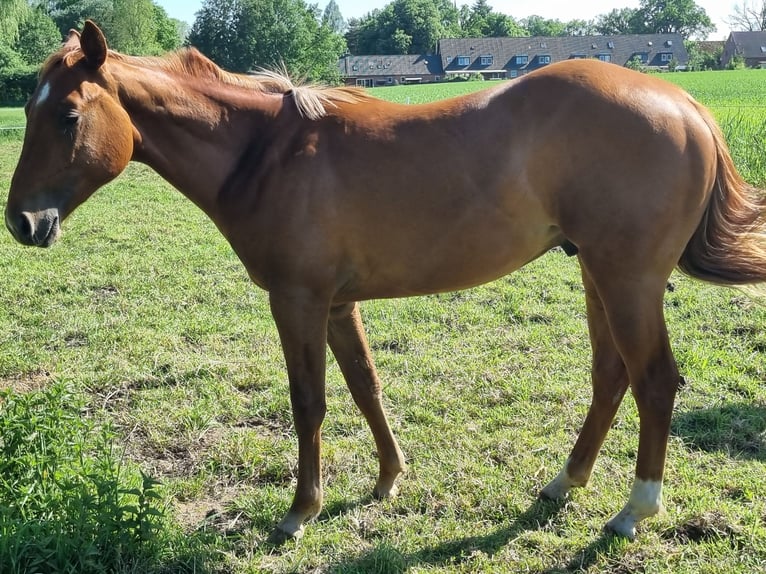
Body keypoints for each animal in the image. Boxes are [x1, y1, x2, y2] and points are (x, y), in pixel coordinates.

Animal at [6, 21, 766, 544]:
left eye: (66, 117)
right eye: (29, 111)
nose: (21, 221)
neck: (265, 154)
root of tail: (686, 105)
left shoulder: (298, 301)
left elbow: (309, 403)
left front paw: (301, 510)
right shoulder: (338, 303)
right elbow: (365, 387)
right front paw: (387, 480)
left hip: (627, 278)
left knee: (655, 381)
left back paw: (634, 509)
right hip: (594, 271)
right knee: (611, 376)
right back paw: (563, 482)